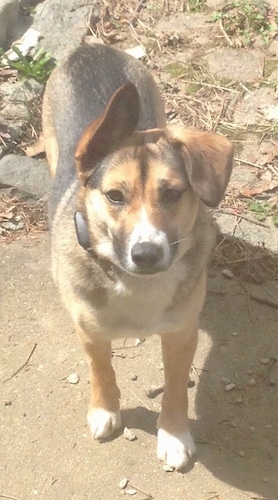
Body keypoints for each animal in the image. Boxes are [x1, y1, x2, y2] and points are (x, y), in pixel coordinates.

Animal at [43, 42, 235, 468]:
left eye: (172, 194)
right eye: (114, 196)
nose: (146, 253)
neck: (136, 284)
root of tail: (90, 47)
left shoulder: (181, 333)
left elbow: (176, 386)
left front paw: (174, 433)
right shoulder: (90, 331)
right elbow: (101, 370)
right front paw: (105, 410)